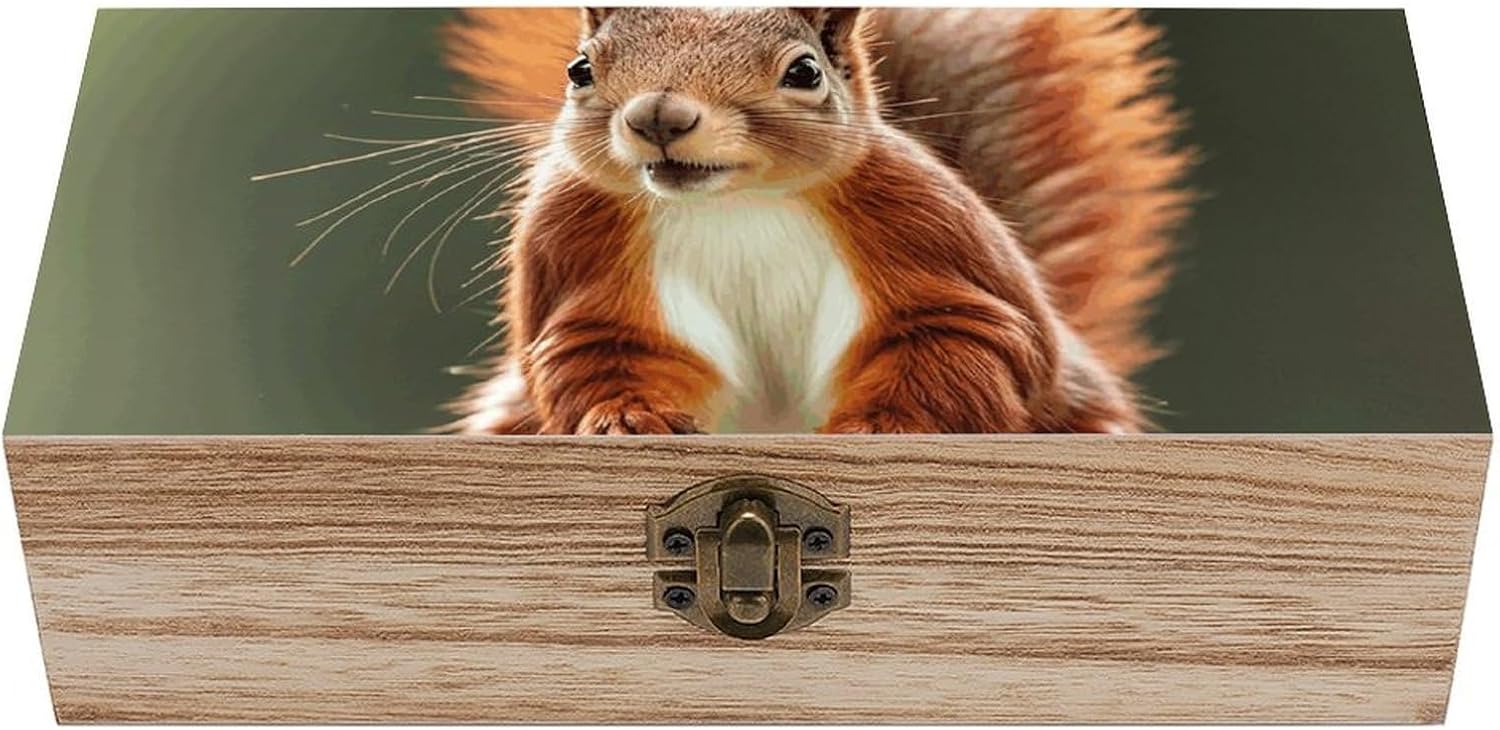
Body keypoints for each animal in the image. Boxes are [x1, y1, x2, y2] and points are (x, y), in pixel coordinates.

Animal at [441, 7, 1190, 435]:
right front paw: (627, 417)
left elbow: (962, 338)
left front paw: (885, 424)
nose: (658, 116)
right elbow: (600, 349)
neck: (734, 206)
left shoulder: (926, 225)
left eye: (804, 72)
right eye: (580, 69)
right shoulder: (576, 240)